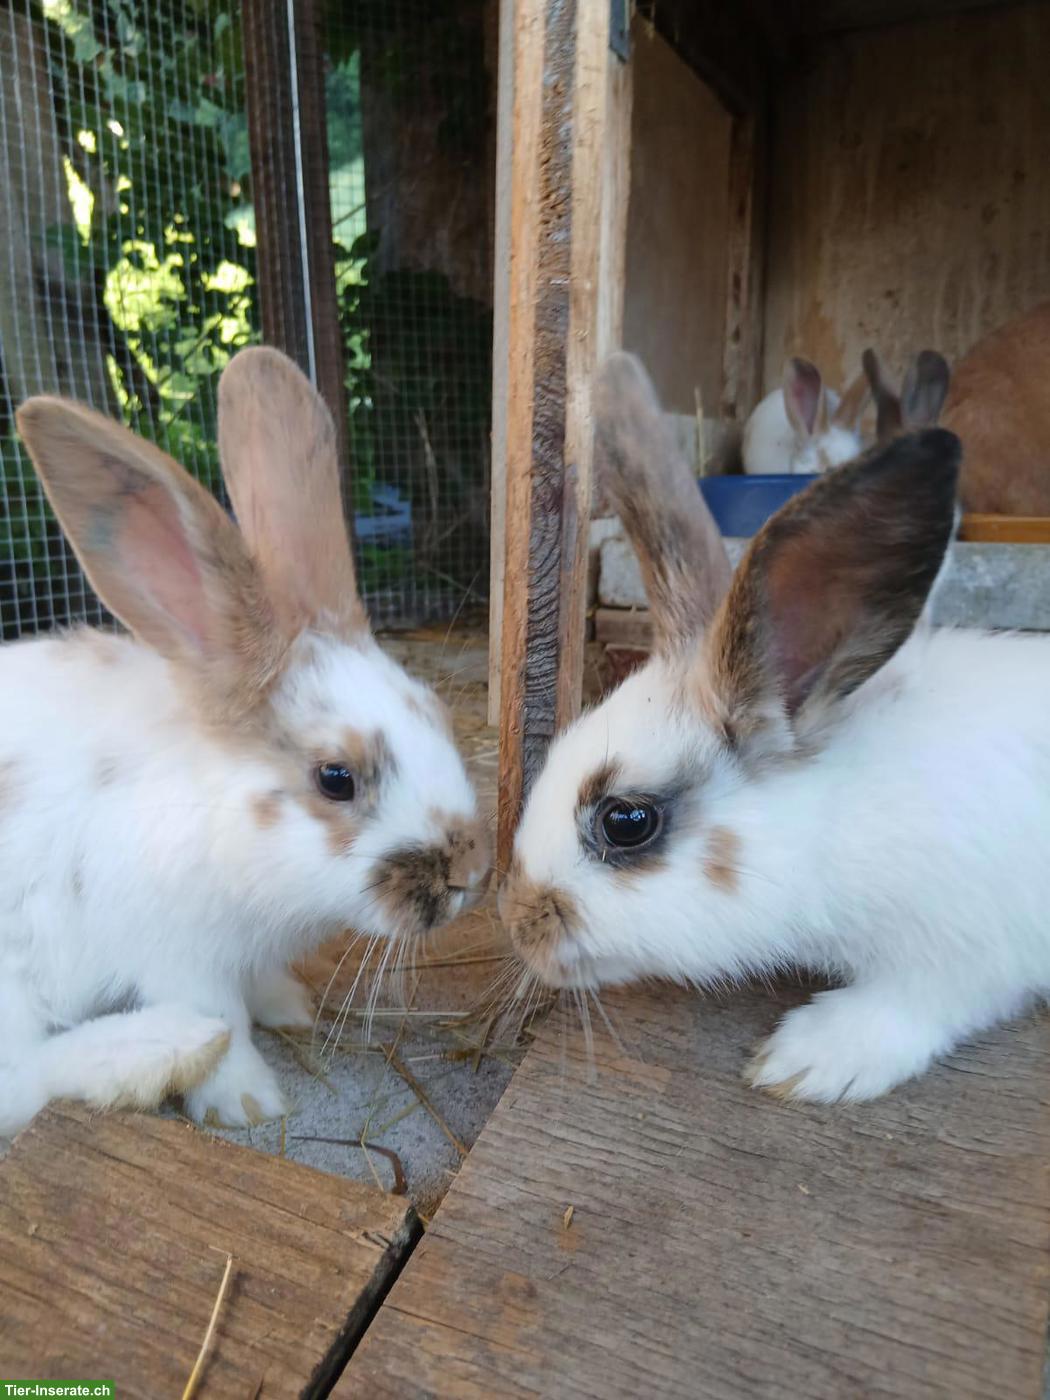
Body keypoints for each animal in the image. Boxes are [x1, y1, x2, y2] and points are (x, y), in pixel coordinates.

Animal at [0, 346, 488, 1136]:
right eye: (336, 778)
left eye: (437, 711)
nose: (473, 872)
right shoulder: (180, 956)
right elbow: (225, 1019)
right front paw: (248, 1100)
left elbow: (258, 990)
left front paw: (290, 1006)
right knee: (19, 1078)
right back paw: (159, 1052)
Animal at [499, 351, 1050, 1104]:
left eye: (626, 822)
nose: (518, 922)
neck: (831, 823)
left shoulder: (965, 951)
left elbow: (917, 1006)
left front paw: (809, 1059)